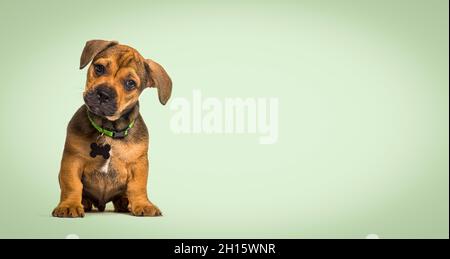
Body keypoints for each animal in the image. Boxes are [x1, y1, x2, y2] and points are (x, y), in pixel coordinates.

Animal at [52, 39, 172, 218]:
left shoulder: (139, 164)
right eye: (99, 68)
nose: (103, 94)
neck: (108, 128)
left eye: (130, 83)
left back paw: (124, 202)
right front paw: (70, 205)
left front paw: (143, 204)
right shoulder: (72, 160)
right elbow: (72, 185)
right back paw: (85, 202)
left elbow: (138, 187)